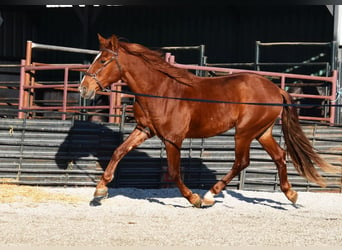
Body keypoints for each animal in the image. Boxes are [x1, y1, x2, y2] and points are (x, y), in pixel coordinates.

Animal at [79, 34, 336, 207]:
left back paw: (211, 194)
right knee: (279, 156)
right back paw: (291, 194)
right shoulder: (144, 130)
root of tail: (276, 89)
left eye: (103, 62)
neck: (161, 91)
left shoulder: (173, 139)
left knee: (241, 162)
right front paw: (99, 191)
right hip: (262, 132)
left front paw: (194, 199)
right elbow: (118, 151)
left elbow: (174, 172)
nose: (84, 89)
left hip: (244, 132)